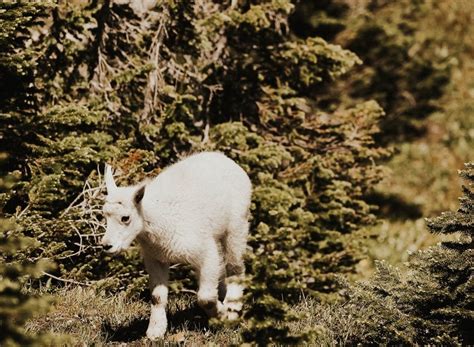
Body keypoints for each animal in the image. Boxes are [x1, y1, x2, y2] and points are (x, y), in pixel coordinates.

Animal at [100, 152, 252, 340]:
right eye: (105, 215)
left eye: (125, 218)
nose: (107, 245)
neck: (158, 218)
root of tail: (224, 158)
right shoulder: (155, 258)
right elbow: (157, 297)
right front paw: (155, 331)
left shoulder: (204, 252)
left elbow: (205, 297)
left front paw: (222, 316)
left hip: (237, 225)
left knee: (234, 266)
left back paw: (233, 307)